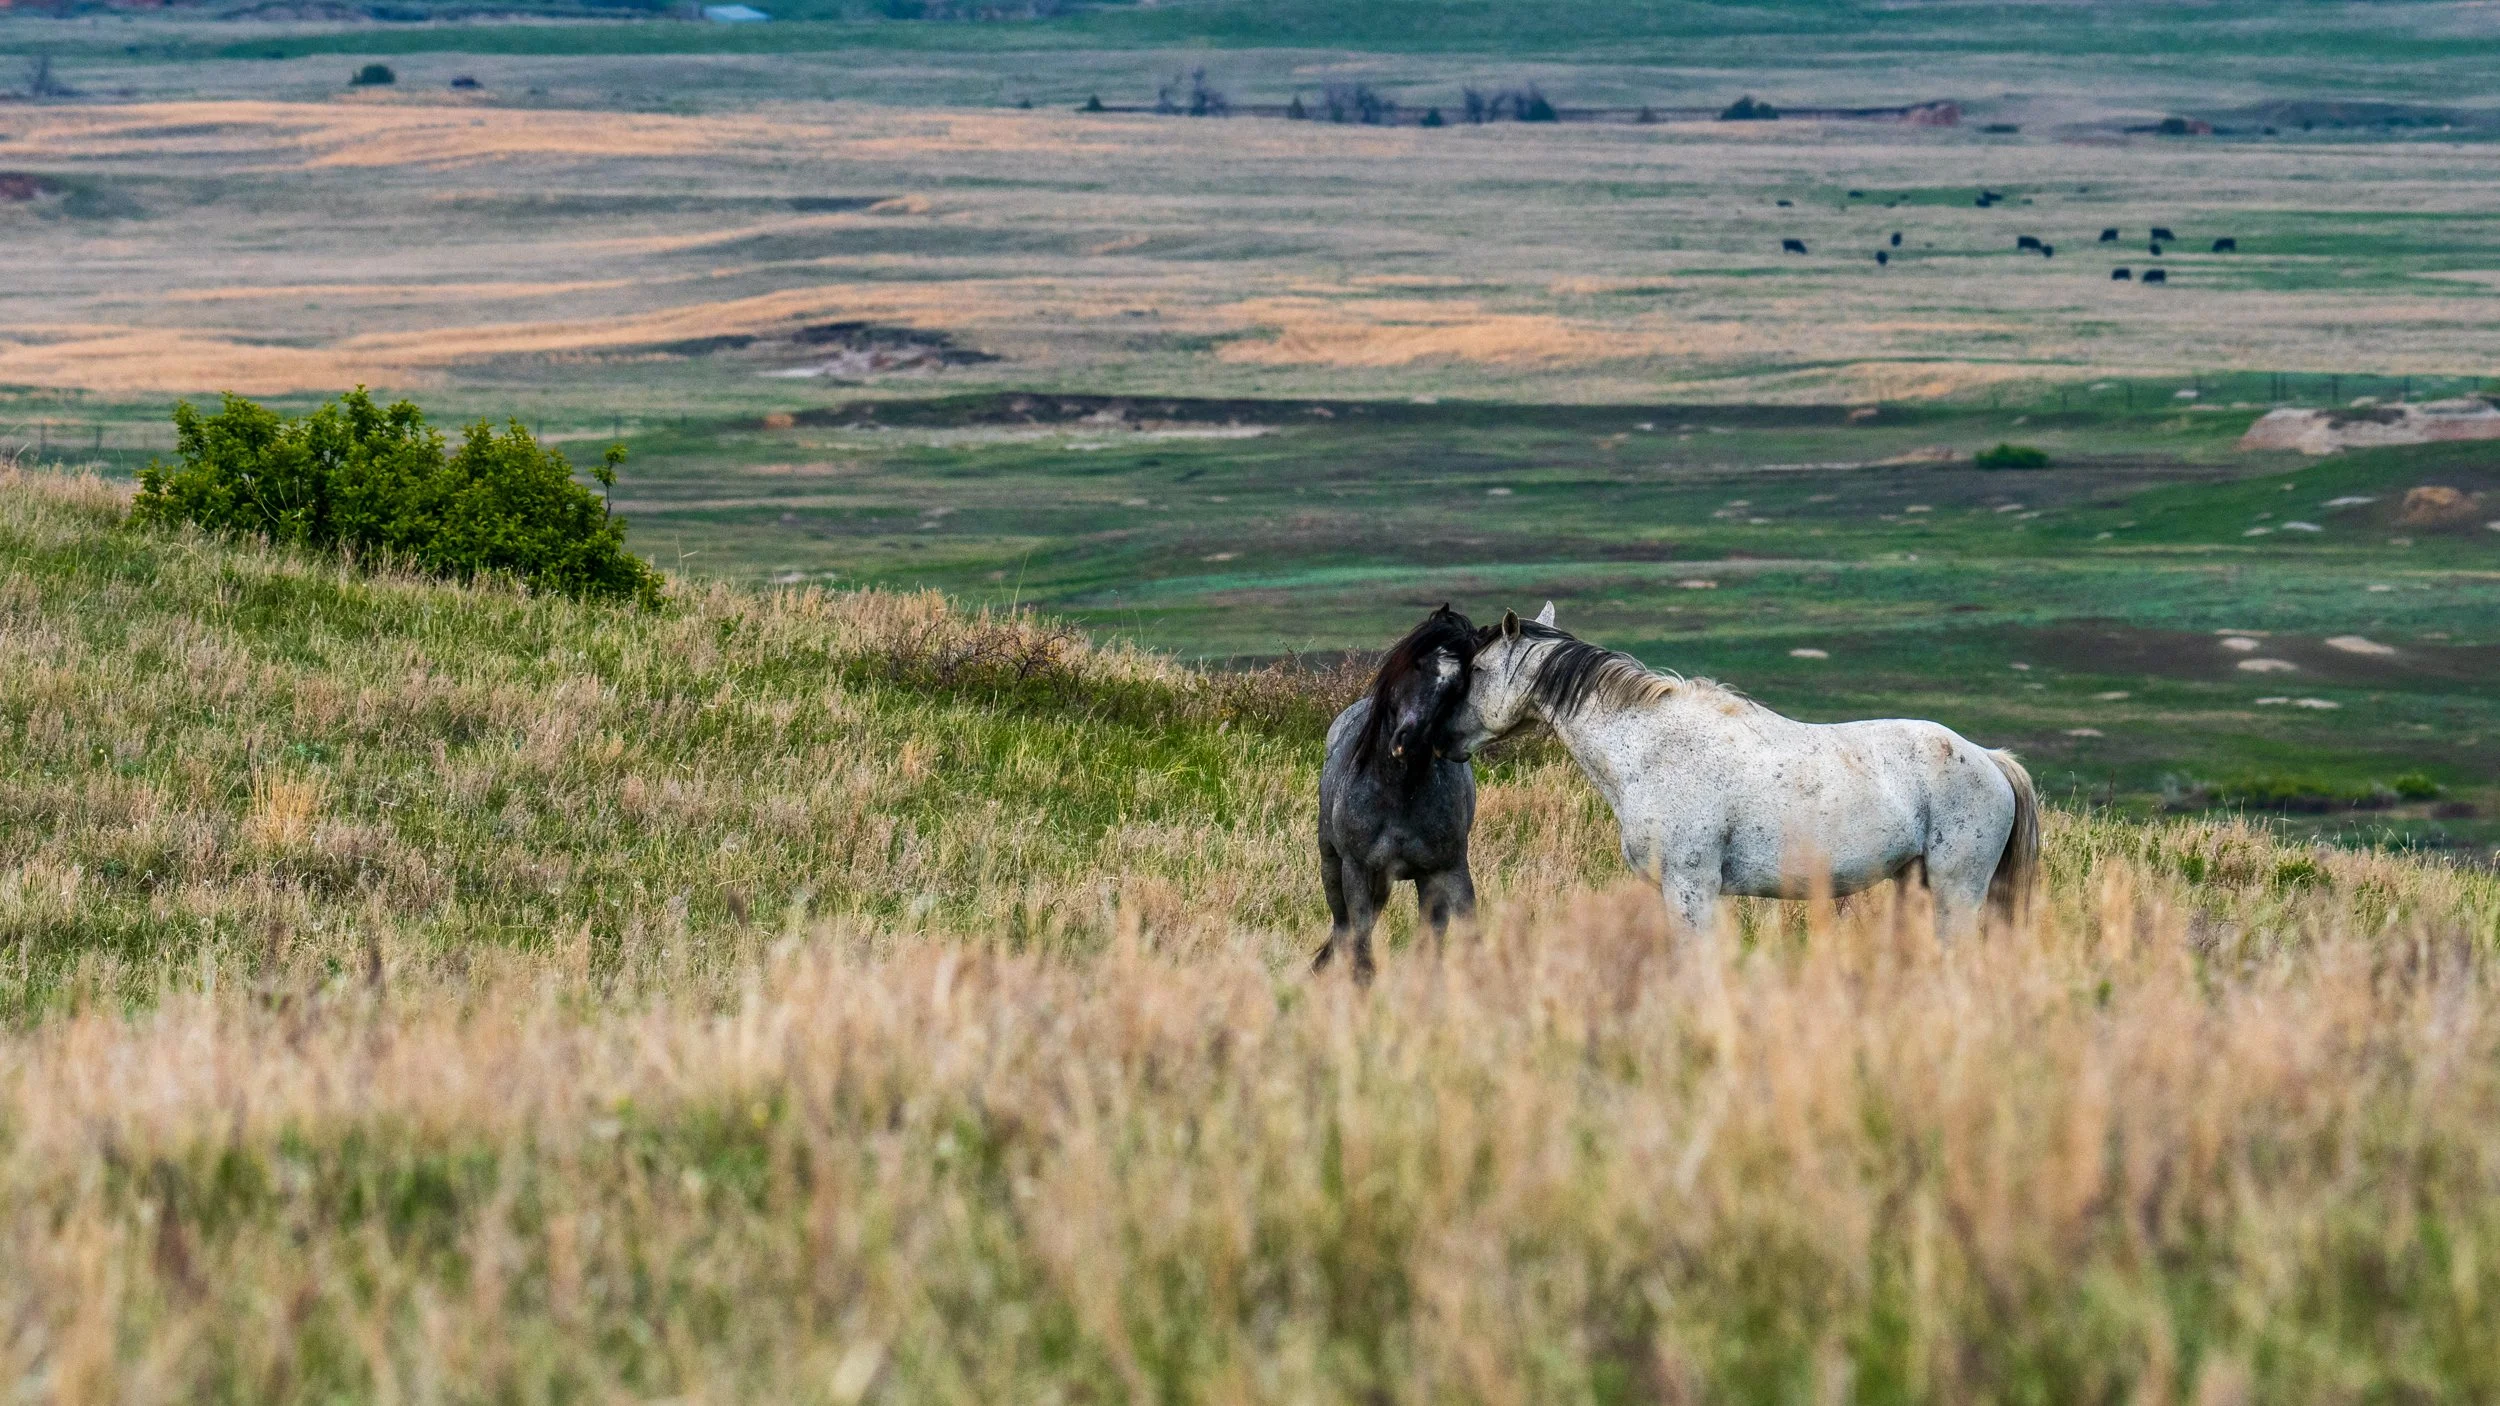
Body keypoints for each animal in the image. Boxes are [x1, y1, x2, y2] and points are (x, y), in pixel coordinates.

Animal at [1313, 604, 1482, 983]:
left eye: (1458, 685)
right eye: (1416, 664)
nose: (1412, 742)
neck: (1399, 793)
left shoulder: (1449, 869)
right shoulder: (1356, 870)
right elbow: (1362, 954)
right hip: (1333, 867)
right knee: (1343, 929)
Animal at [1447, 607, 2038, 942]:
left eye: (1475, 668)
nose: (1442, 736)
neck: (1651, 747)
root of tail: (1990, 759)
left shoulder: (1692, 889)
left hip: (1956, 889)